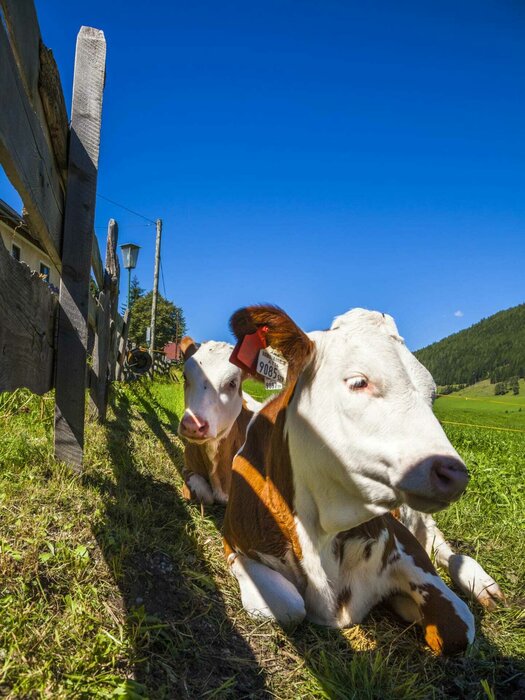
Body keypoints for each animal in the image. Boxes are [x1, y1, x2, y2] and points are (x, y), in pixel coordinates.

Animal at [223, 305, 503, 655]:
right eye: (359, 381)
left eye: (433, 395)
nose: (455, 473)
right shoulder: (232, 541)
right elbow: (287, 607)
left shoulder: (405, 544)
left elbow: (459, 627)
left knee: (443, 547)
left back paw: (482, 584)